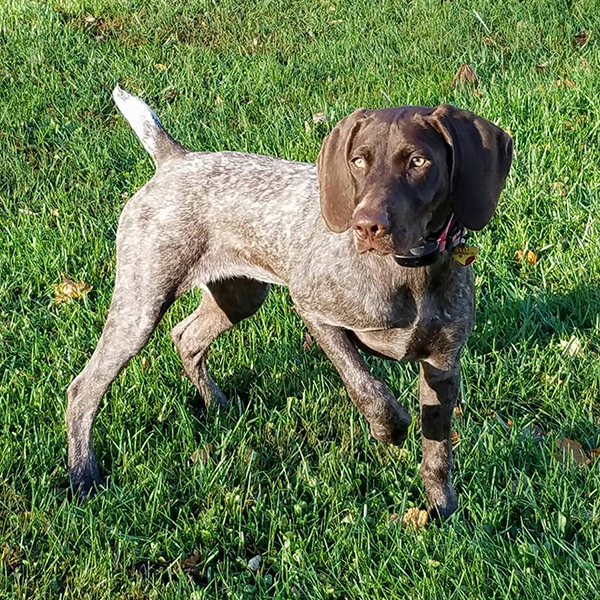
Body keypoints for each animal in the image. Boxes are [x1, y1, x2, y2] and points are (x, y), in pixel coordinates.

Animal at [67, 86, 510, 516]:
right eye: (358, 161)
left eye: (419, 161)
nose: (366, 226)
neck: (411, 272)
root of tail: (175, 159)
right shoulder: (314, 310)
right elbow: (366, 385)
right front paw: (390, 428)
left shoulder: (443, 366)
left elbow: (438, 454)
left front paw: (443, 510)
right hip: (140, 308)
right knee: (83, 389)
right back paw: (83, 477)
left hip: (241, 296)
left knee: (186, 337)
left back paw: (219, 406)